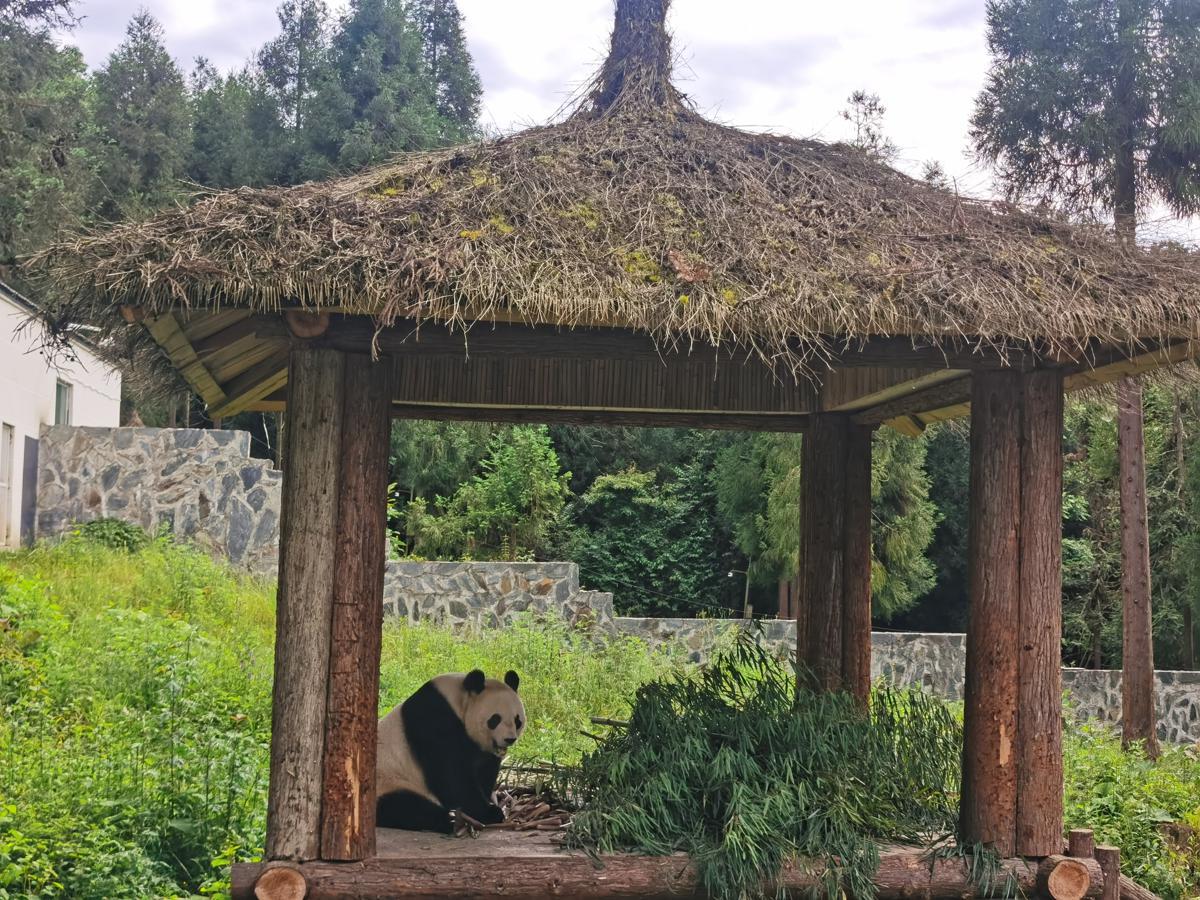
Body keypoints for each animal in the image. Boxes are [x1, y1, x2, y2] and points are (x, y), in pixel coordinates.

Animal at [374, 672, 525, 835]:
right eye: (495, 719)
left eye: (517, 720)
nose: (509, 739)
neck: (458, 703)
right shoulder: (436, 724)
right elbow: (451, 776)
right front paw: (489, 812)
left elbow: (483, 770)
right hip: (389, 781)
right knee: (404, 807)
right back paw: (446, 821)